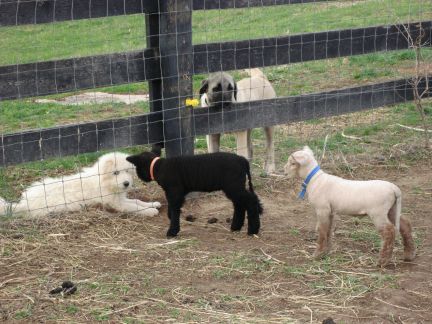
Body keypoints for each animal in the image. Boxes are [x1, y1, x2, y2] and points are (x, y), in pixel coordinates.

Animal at [0, 152, 161, 218]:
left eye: (127, 171)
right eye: (115, 173)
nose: (126, 183)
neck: (104, 181)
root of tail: (24, 203)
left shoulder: (120, 198)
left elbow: (137, 201)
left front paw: (153, 204)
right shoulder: (116, 203)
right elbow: (133, 207)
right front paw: (149, 211)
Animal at [284, 146, 416, 266]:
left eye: (292, 163)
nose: (284, 172)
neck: (315, 180)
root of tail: (394, 189)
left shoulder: (322, 210)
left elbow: (321, 231)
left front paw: (317, 255)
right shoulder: (330, 211)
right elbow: (328, 231)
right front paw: (326, 252)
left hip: (378, 212)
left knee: (389, 232)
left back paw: (383, 261)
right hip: (392, 209)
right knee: (405, 225)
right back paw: (408, 255)